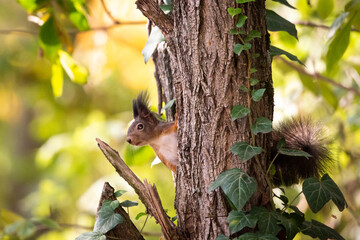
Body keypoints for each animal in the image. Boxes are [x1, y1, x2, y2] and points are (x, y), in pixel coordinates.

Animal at [126, 91, 332, 187]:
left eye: (139, 126)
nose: (128, 140)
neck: (156, 140)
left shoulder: (168, 129)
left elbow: (176, 124)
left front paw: (178, 114)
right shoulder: (164, 157)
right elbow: (173, 167)